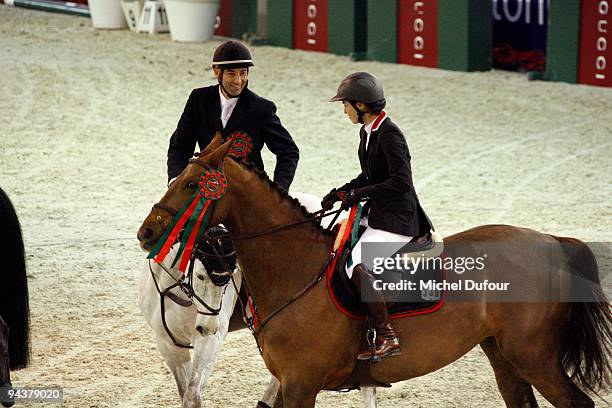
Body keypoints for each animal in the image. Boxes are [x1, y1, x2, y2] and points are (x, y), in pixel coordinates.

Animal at [140, 192, 378, 408]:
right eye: (199, 275)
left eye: (229, 278)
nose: (207, 327)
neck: (176, 290)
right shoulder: (166, 343)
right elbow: (184, 392)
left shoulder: (209, 341)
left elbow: (191, 395)